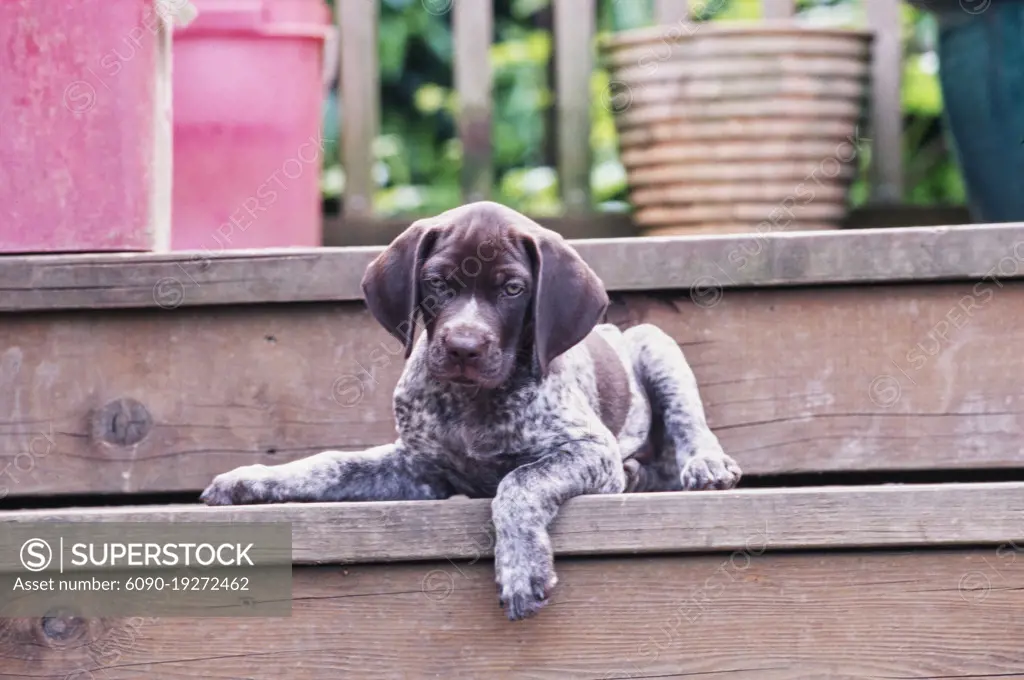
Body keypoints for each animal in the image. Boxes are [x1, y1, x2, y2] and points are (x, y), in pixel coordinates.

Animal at [199, 200, 741, 622]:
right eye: (437, 282)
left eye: (513, 289)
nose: (463, 347)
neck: (472, 404)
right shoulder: (419, 471)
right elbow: (327, 464)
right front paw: (250, 479)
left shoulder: (591, 451)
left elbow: (519, 482)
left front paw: (521, 569)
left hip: (654, 342)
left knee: (686, 426)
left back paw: (704, 464)